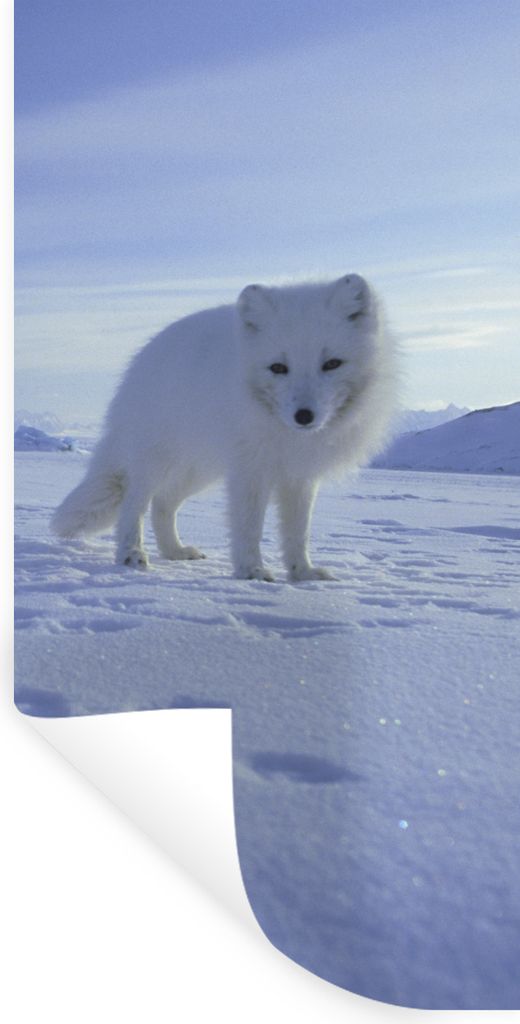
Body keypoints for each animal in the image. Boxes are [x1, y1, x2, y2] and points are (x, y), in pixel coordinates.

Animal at [52, 274, 397, 581]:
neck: (285, 432)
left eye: (332, 364)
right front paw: (251, 571)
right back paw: (131, 553)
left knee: (163, 503)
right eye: (278, 367)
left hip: (199, 470)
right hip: (157, 460)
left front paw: (302, 573)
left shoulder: (299, 476)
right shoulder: (250, 471)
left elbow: (297, 531)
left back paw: (174, 551)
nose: (304, 416)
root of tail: (142, 358)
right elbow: (249, 526)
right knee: (134, 502)